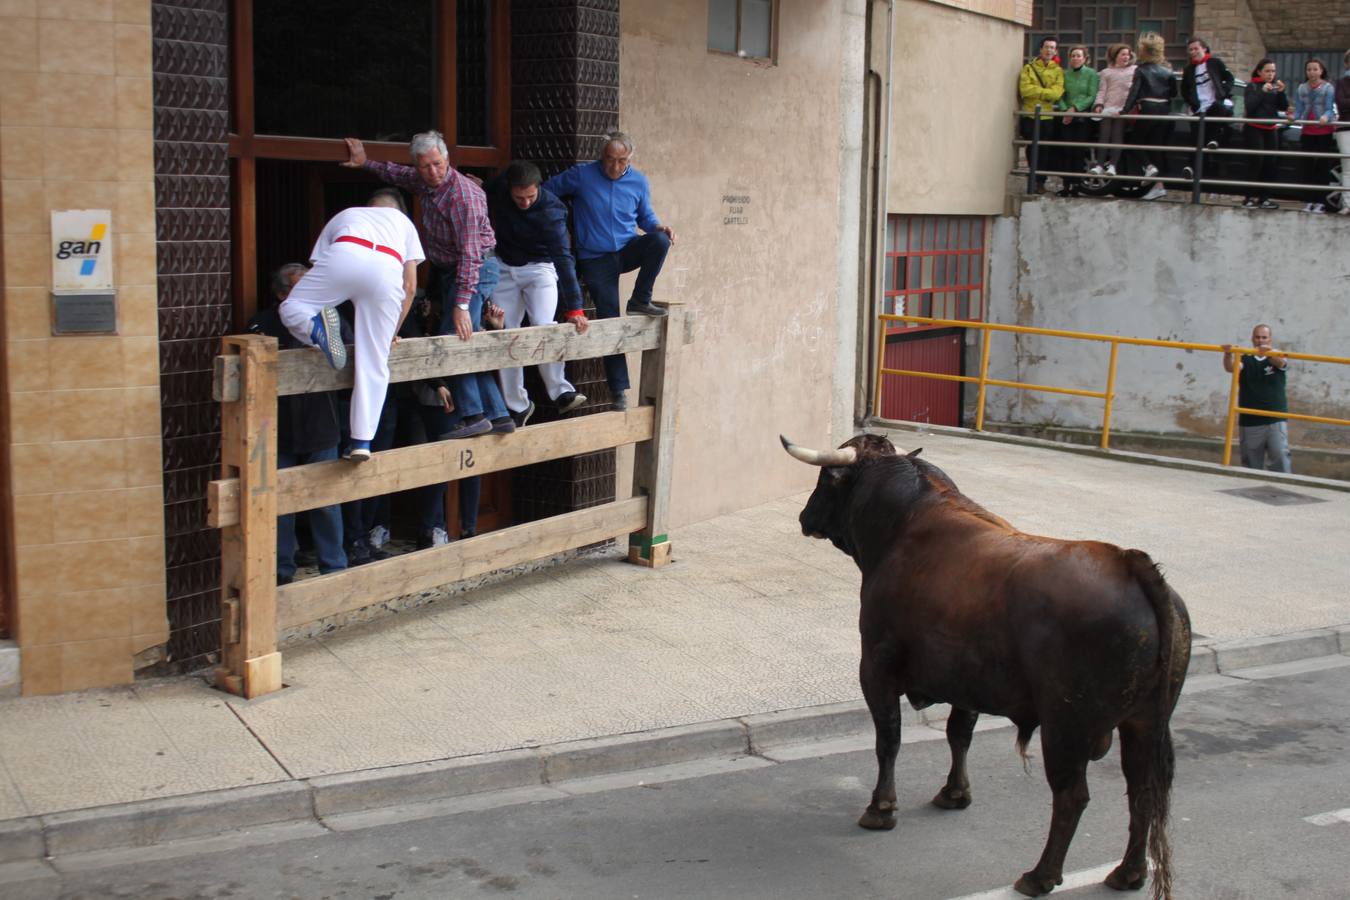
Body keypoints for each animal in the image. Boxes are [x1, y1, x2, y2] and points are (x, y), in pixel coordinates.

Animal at [783, 431, 1193, 895]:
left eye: (825, 480)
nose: (805, 516)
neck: (902, 526)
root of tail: (1129, 563)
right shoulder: (968, 680)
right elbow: (959, 734)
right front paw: (954, 793)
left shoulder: (876, 666)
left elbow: (889, 739)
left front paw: (881, 808)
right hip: (1144, 722)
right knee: (1143, 789)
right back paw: (1129, 872)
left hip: (1066, 727)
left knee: (1072, 796)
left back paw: (1040, 875)